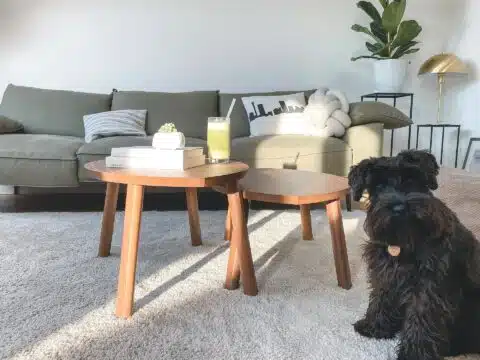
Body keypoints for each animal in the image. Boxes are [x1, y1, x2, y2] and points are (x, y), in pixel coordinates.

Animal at [348, 150, 480, 360]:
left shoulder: (429, 286)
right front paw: (374, 326)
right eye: (378, 186)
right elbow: (380, 298)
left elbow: (422, 318)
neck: (406, 241)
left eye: (411, 179)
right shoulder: (385, 274)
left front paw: (415, 353)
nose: (399, 207)